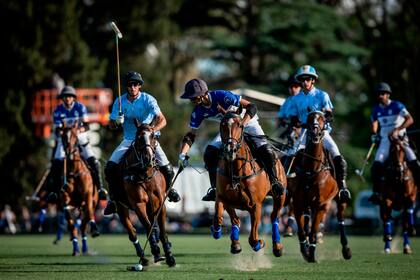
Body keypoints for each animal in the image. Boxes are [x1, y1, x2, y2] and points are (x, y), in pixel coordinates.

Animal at [59, 122, 100, 256]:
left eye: (75, 136)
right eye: (63, 136)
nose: (69, 152)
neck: (75, 171)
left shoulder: (87, 195)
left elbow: (89, 214)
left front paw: (94, 229)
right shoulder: (65, 197)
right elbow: (70, 223)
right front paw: (75, 248)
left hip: (91, 202)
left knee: (83, 225)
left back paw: (86, 248)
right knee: (76, 226)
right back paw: (77, 247)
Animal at [114, 120, 175, 266]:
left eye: (153, 136)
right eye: (138, 137)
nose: (148, 158)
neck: (145, 175)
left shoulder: (160, 205)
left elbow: (161, 230)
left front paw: (169, 256)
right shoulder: (138, 204)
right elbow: (148, 227)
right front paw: (156, 250)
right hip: (121, 208)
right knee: (133, 233)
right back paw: (143, 258)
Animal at [212, 111, 288, 256]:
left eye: (240, 125)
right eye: (222, 124)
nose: (230, 149)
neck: (236, 172)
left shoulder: (255, 205)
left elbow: (253, 237)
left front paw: (260, 243)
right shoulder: (223, 198)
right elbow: (221, 218)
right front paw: (221, 234)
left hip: (280, 195)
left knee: (274, 217)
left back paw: (278, 247)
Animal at [292, 111, 352, 262]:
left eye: (323, 119)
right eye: (308, 119)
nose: (315, 132)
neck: (311, 169)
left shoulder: (321, 204)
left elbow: (313, 231)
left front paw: (311, 255)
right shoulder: (297, 203)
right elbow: (302, 230)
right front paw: (305, 250)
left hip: (338, 201)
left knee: (341, 220)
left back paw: (346, 249)